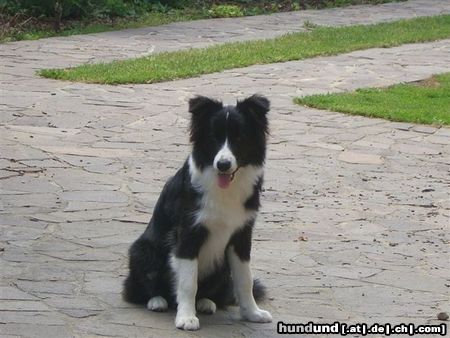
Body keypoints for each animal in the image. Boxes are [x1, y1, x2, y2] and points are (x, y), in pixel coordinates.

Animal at [122, 94, 270, 330]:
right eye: (214, 138)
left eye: (239, 138)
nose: (223, 164)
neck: (224, 188)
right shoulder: (188, 233)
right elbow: (188, 282)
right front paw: (185, 318)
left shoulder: (242, 235)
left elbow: (245, 279)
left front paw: (253, 313)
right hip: (143, 250)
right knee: (137, 288)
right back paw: (157, 301)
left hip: (222, 267)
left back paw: (206, 302)